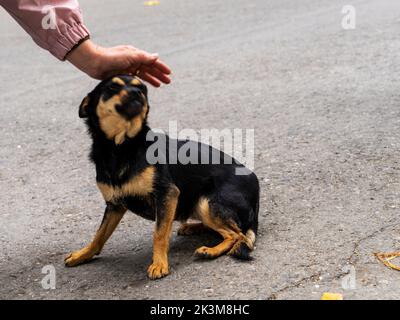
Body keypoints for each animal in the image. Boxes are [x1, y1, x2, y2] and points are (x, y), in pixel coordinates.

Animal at [64, 74, 260, 278]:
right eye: (112, 87)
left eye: (142, 88)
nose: (137, 92)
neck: (120, 147)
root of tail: (255, 183)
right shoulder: (114, 205)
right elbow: (99, 235)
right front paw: (83, 254)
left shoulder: (167, 194)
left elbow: (159, 233)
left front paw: (159, 264)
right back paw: (191, 227)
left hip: (206, 202)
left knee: (237, 235)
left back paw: (210, 251)